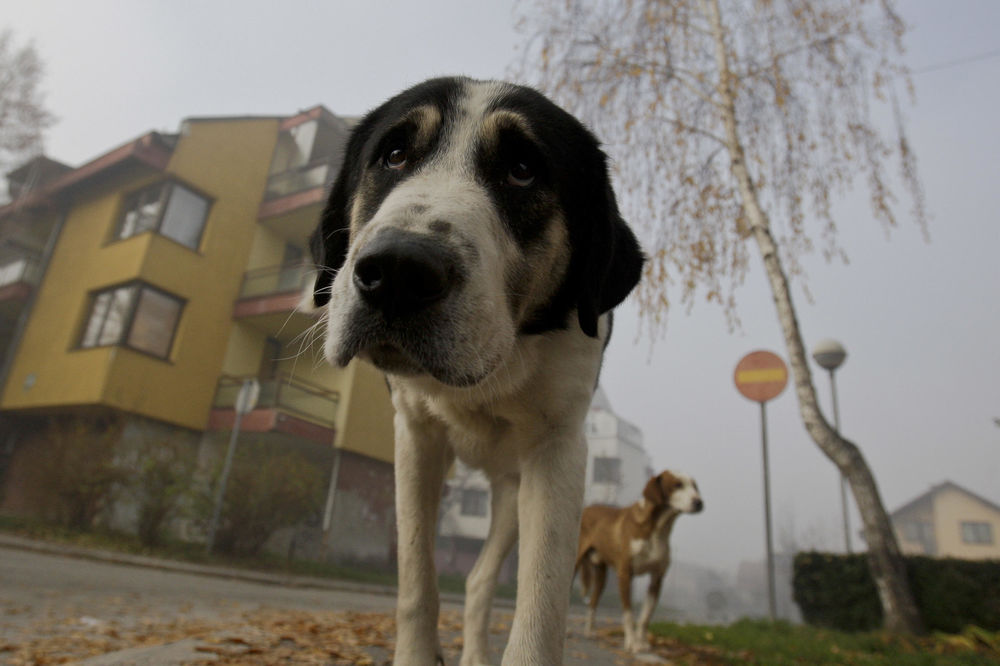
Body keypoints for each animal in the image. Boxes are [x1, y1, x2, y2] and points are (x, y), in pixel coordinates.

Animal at [308, 79, 644, 664]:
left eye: (522, 168)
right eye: (394, 154)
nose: (398, 269)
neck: (493, 368)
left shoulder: (558, 450)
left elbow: (541, 606)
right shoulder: (415, 435)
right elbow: (416, 577)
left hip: (512, 494)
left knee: (482, 579)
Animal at [576, 470, 708, 652]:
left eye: (695, 486)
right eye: (677, 485)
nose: (699, 502)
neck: (657, 529)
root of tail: (587, 508)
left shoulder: (657, 578)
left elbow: (645, 617)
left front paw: (643, 642)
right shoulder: (625, 574)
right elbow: (628, 614)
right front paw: (632, 643)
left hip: (601, 575)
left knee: (593, 602)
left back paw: (589, 631)